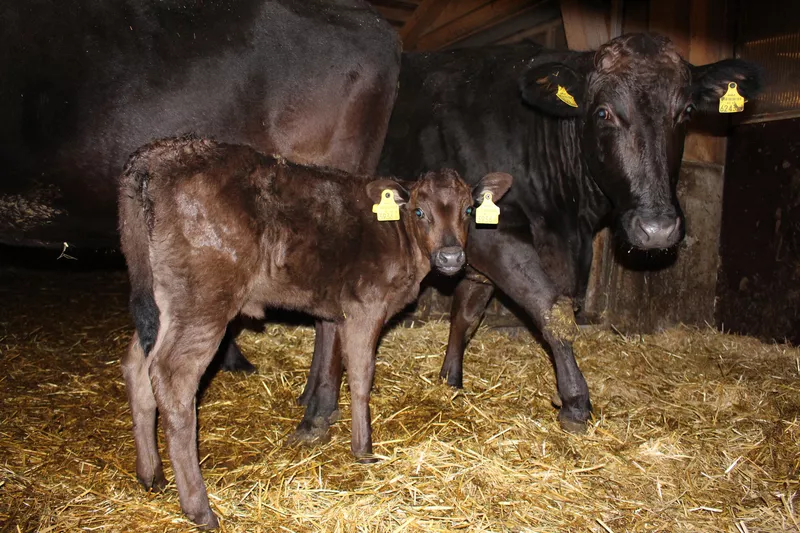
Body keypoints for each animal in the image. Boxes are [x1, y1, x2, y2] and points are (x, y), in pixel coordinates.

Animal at [117, 135, 512, 524]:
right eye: (419, 212)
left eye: (468, 210)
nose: (451, 257)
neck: (397, 236)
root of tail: (154, 156)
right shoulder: (366, 306)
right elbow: (361, 376)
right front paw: (363, 449)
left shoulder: (338, 312)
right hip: (204, 299)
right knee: (172, 376)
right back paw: (200, 508)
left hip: (164, 300)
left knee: (138, 365)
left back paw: (151, 475)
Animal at [294, 32, 764, 432]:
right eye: (602, 112)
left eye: (686, 112)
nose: (658, 228)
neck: (567, 217)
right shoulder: (494, 233)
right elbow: (546, 304)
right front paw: (574, 399)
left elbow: (467, 314)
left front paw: (450, 381)